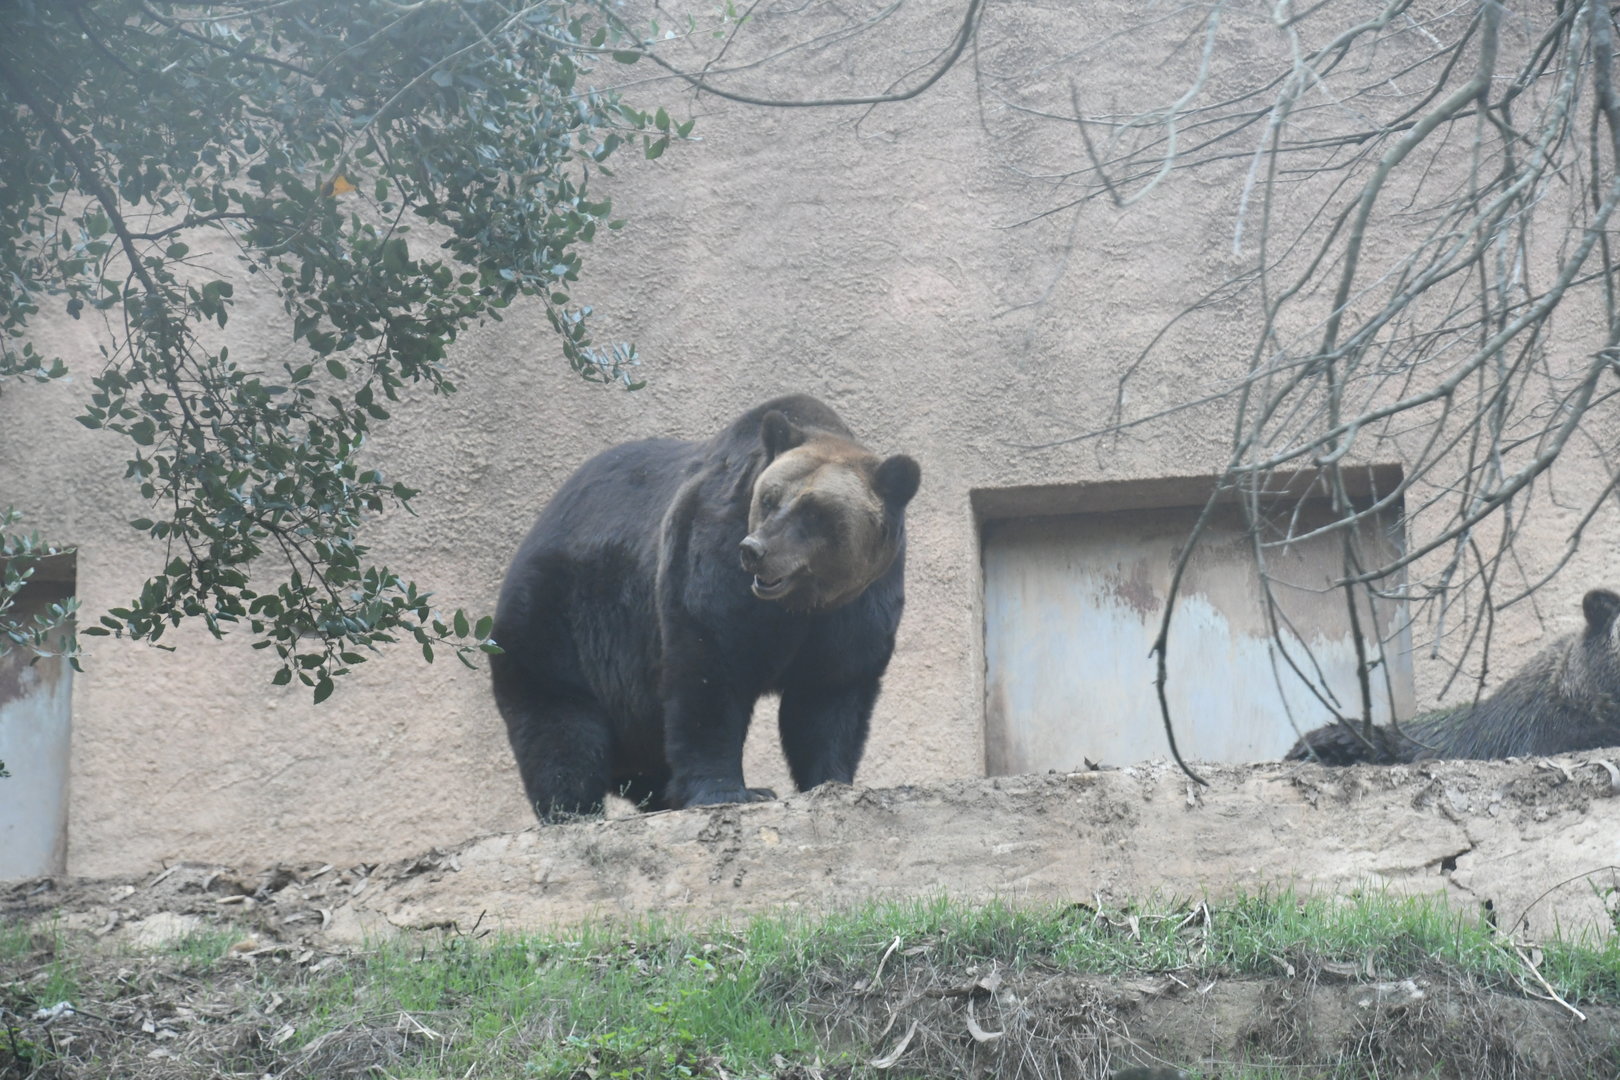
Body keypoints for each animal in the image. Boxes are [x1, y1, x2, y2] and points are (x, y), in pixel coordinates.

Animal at [490, 394, 921, 821]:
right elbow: (709, 668)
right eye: (769, 499)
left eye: (814, 511)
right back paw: (573, 810)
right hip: (560, 618)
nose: (756, 551)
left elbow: (831, 691)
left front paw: (831, 780)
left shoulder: (859, 603)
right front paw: (728, 790)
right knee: (561, 723)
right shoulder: (714, 556)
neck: (800, 605)